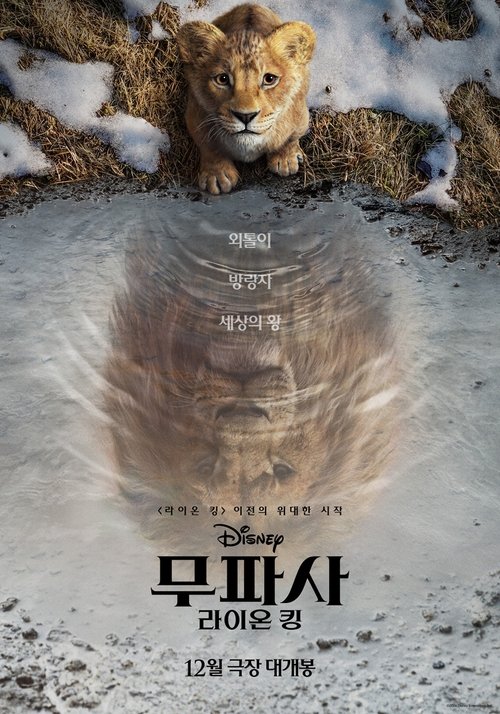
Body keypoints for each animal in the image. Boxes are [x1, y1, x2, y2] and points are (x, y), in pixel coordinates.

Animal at [176, 3, 316, 194]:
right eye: (222, 79)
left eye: (269, 79)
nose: (245, 116)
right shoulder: (195, 116)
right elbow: (209, 147)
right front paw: (217, 176)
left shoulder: (300, 117)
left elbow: (290, 139)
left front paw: (285, 160)